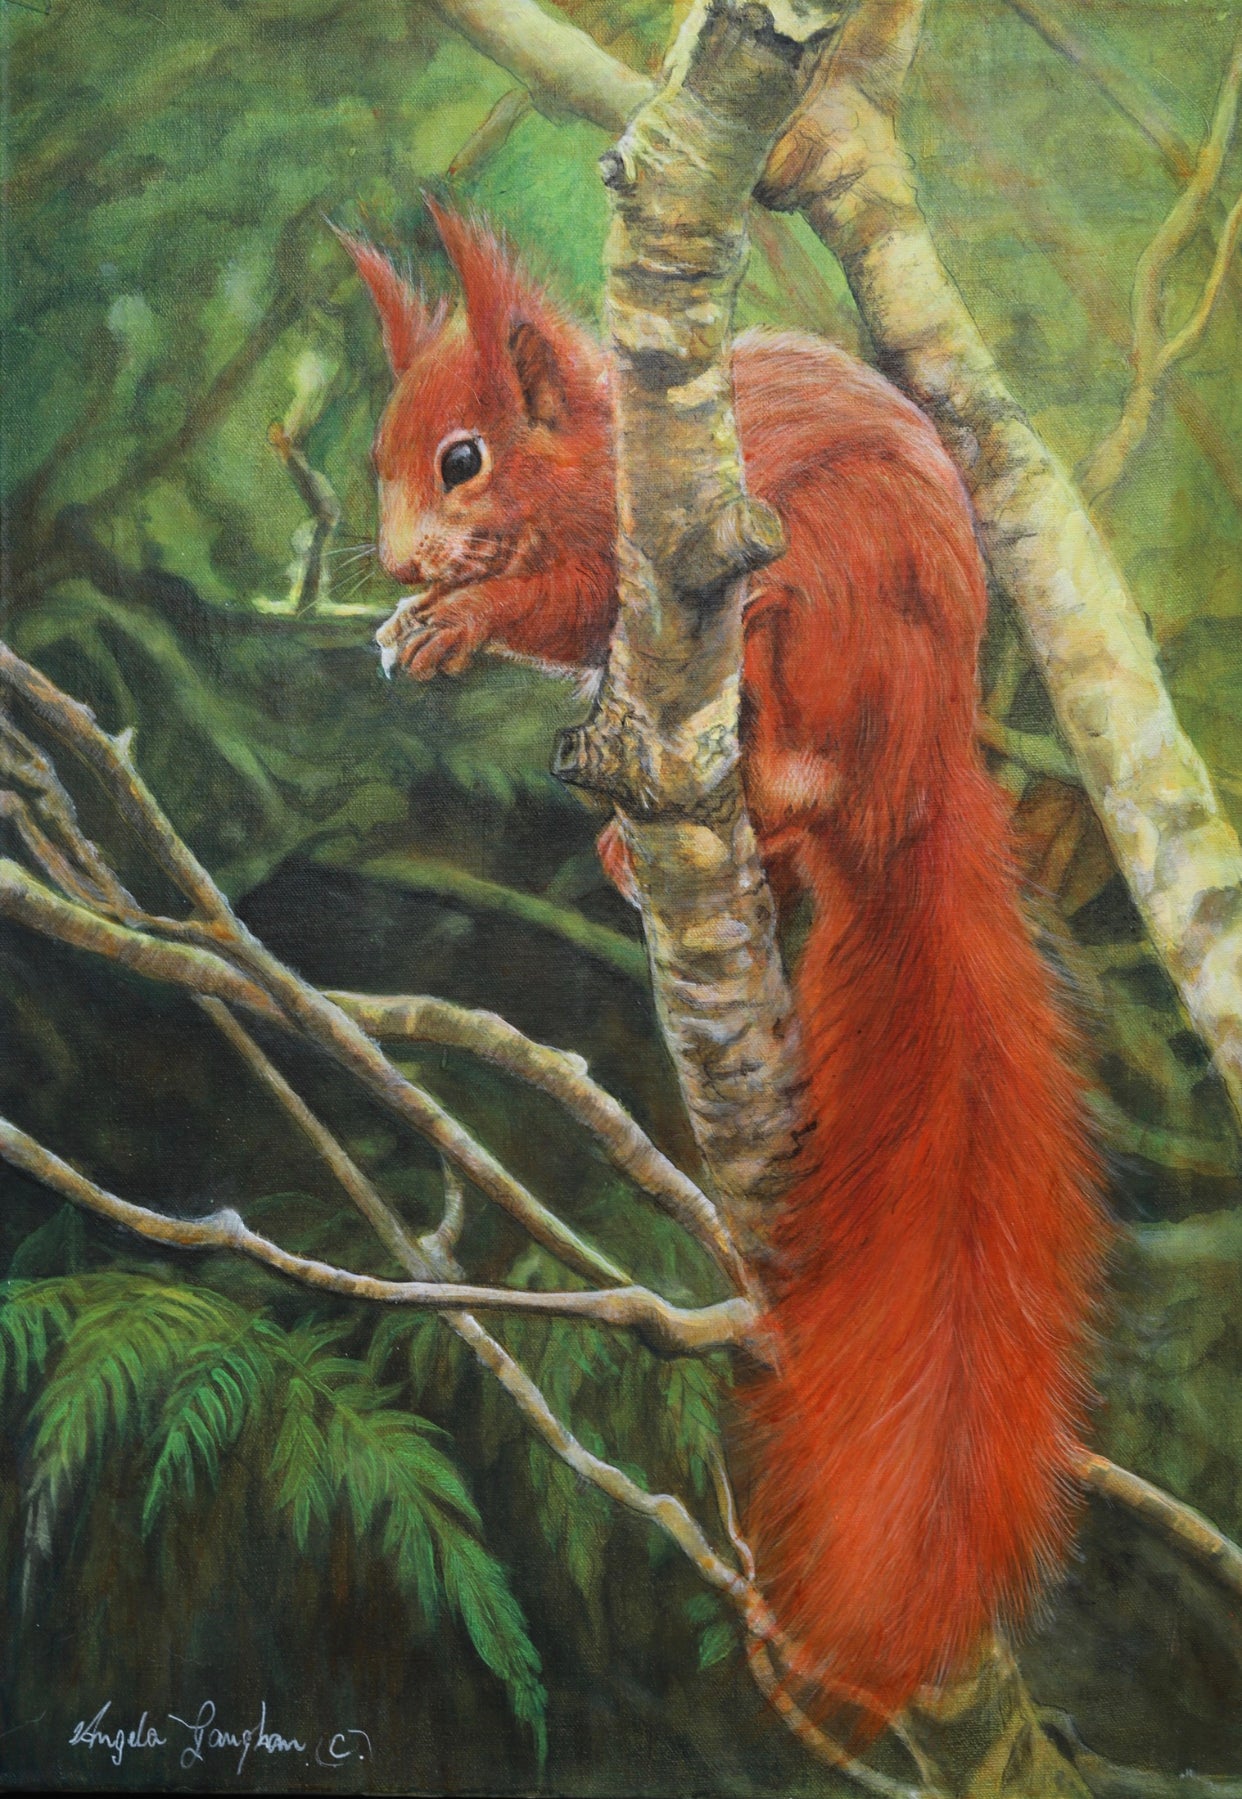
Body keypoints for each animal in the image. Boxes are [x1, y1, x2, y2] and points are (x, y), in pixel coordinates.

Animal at [340, 203, 1108, 1724]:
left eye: (461, 458)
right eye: (384, 455)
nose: (395, 565)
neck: (602, 454)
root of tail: (924, 777)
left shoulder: (630, 554)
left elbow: (569, 597)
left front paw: (459, 620)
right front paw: (418, 630)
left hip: (842, 601)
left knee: (797, 707)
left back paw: (764, 738)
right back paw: (642, 841)